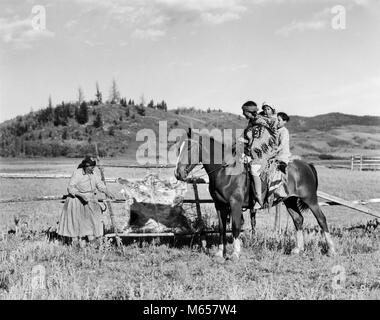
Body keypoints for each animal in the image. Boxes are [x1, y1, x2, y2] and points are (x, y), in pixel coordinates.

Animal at [175, 130, 336, 260]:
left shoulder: (235, 204)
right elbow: (221, 228)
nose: (178, 174)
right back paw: (298, 249)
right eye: (179, 148)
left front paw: (235, 254)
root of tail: (307, 165)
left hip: (310, 199)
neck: (225, 172)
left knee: (321, 219)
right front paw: (220, 253)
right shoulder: (219, 205)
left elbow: (235, 227)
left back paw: (331, 250)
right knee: (298, 220)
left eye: (188, 148)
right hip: (289, 200)